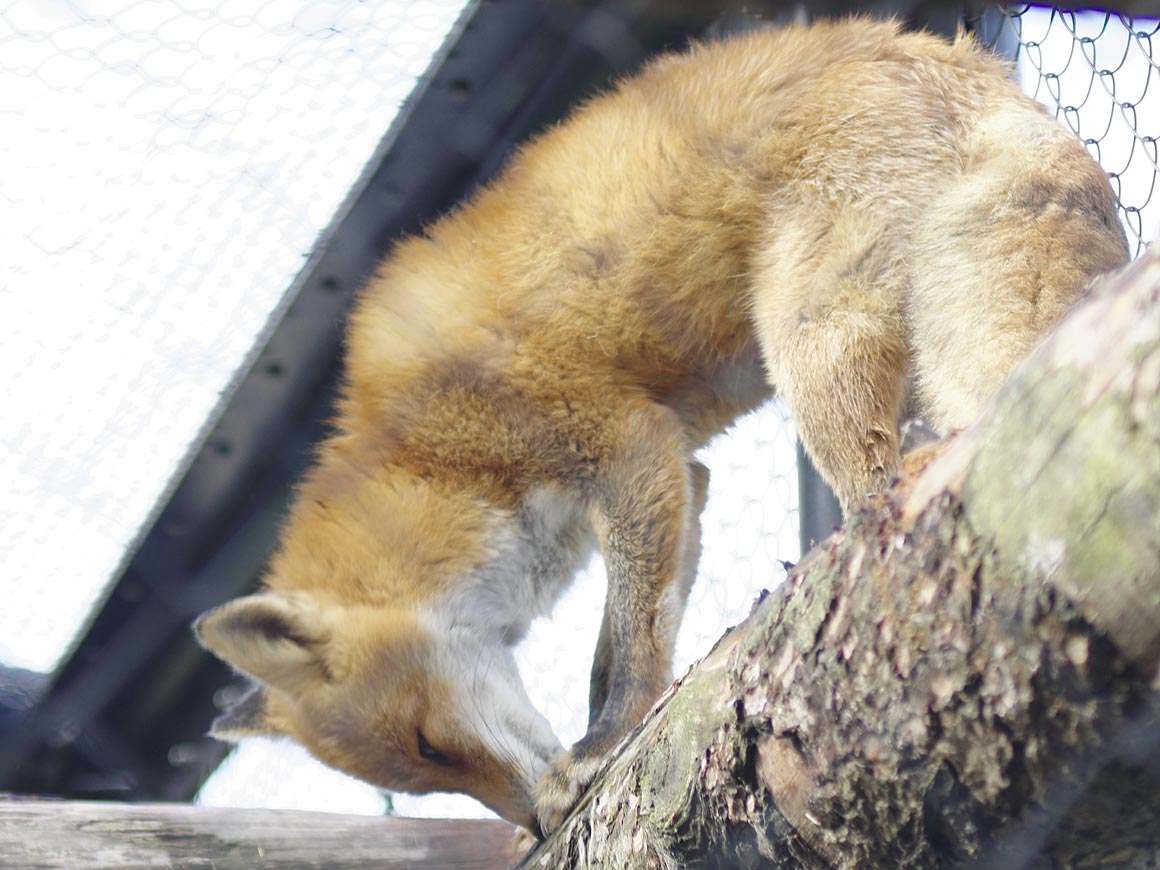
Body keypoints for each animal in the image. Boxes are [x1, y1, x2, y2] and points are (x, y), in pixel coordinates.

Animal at [194, 18, 1127, 839]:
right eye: (425, 778)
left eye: (430, 747)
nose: (530, 826)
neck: (424, 456)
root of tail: (946, 56)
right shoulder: (681, 471)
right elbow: (626, 631)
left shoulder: (624, 448)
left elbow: (628, 646)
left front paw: (600, 746)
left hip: (811, 345)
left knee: (884, 484)